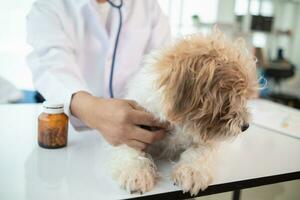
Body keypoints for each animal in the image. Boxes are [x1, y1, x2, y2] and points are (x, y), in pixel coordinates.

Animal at [108, 30, 258, 195]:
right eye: (231, 98)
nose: (245, 126)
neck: (178, 123)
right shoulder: (130, 126)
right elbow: (130, 149)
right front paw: (136, 172)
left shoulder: (206, 139)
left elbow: (199, 151)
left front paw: (191, 172)